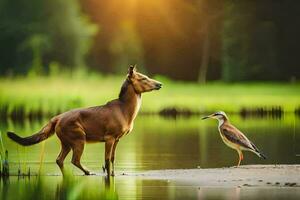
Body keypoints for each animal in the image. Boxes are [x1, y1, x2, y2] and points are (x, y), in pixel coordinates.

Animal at [7, 65, 162, 175]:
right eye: (143, 78)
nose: (160, 84)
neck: (126, 110)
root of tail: (56, 118)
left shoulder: (117, 139)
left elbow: (113, 159)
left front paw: (113, 175)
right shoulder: (109, 138)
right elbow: (106, 160)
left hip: (66, 142)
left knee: (59, 160)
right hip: (78, 139)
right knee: (74, 160)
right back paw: (88, 171)